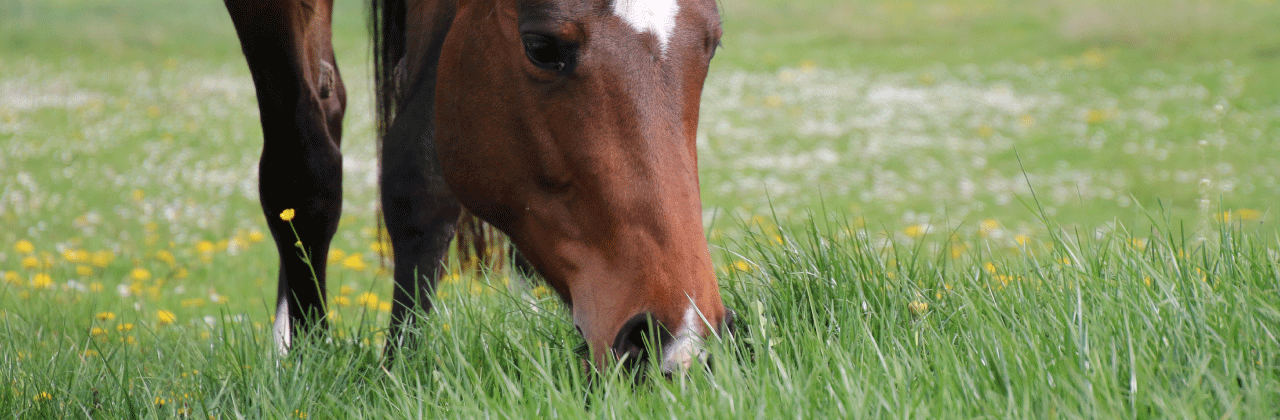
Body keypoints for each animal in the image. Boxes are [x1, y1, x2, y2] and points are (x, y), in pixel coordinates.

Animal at [224, 0, 727, 371]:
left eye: (712, 44)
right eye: (542, 47)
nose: (678, 341)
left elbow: (420, 175)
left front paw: (398, 367)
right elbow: (303, 174)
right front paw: (313, 358)